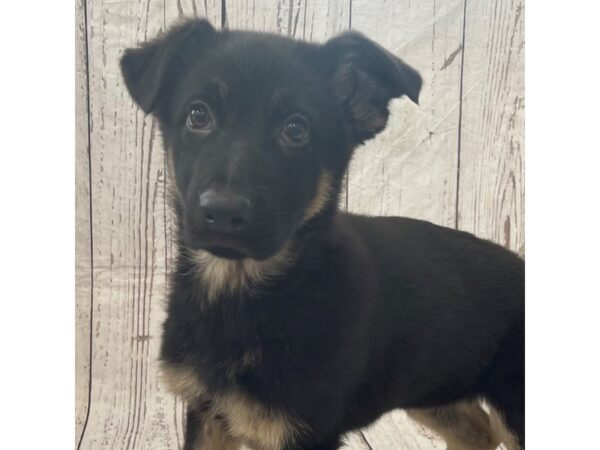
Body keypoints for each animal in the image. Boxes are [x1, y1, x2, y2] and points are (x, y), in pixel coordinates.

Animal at [122, 18, 524, 450]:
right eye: (198, 115)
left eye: (296, 129)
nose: (224, 212)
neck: (241, 292)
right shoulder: (207, 413)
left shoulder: (305, 432)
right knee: (477, 429)